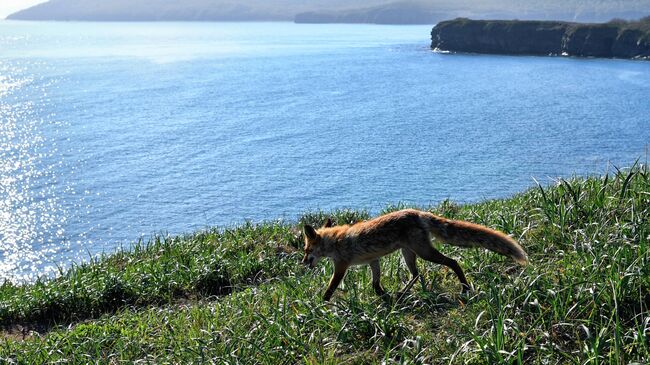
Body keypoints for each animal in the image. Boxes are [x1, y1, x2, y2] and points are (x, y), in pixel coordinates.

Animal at [302, 209, 528, 300]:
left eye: (306, 250)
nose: (303, 263)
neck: (335, 241)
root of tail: (419, 213)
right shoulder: (373, 260)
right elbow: (375, 284)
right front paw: (383, 296)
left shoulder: (341, 266)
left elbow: (330, 288)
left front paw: (322, 304)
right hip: (408, 254)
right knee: (416, 275)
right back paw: (402, 293)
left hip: (423, 252)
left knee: (453, 262)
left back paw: (464, 287)